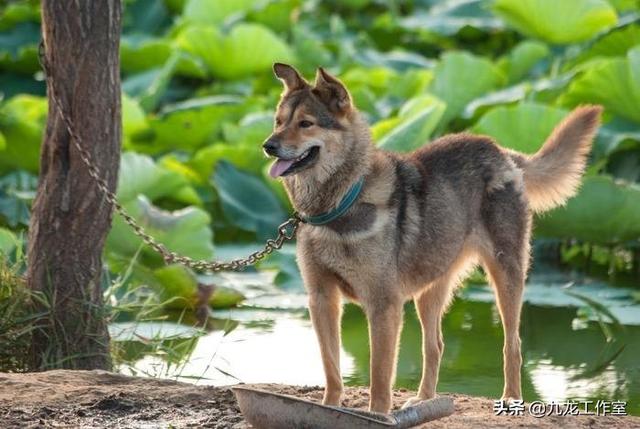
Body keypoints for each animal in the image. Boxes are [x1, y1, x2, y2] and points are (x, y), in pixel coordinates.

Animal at [262, 61, 604, 412]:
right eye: (278, 122)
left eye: (306, 123)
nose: (268, 146)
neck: (339, 204)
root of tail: (503, 153)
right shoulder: (321, 298)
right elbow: (332, 367)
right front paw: (329, 408)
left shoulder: (383, 304)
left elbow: (379, 374)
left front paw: (378, 414)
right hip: (430, 289)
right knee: (435, 345)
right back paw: (424, 398)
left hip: (506, 274)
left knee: (513, 343)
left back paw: (511, 397)